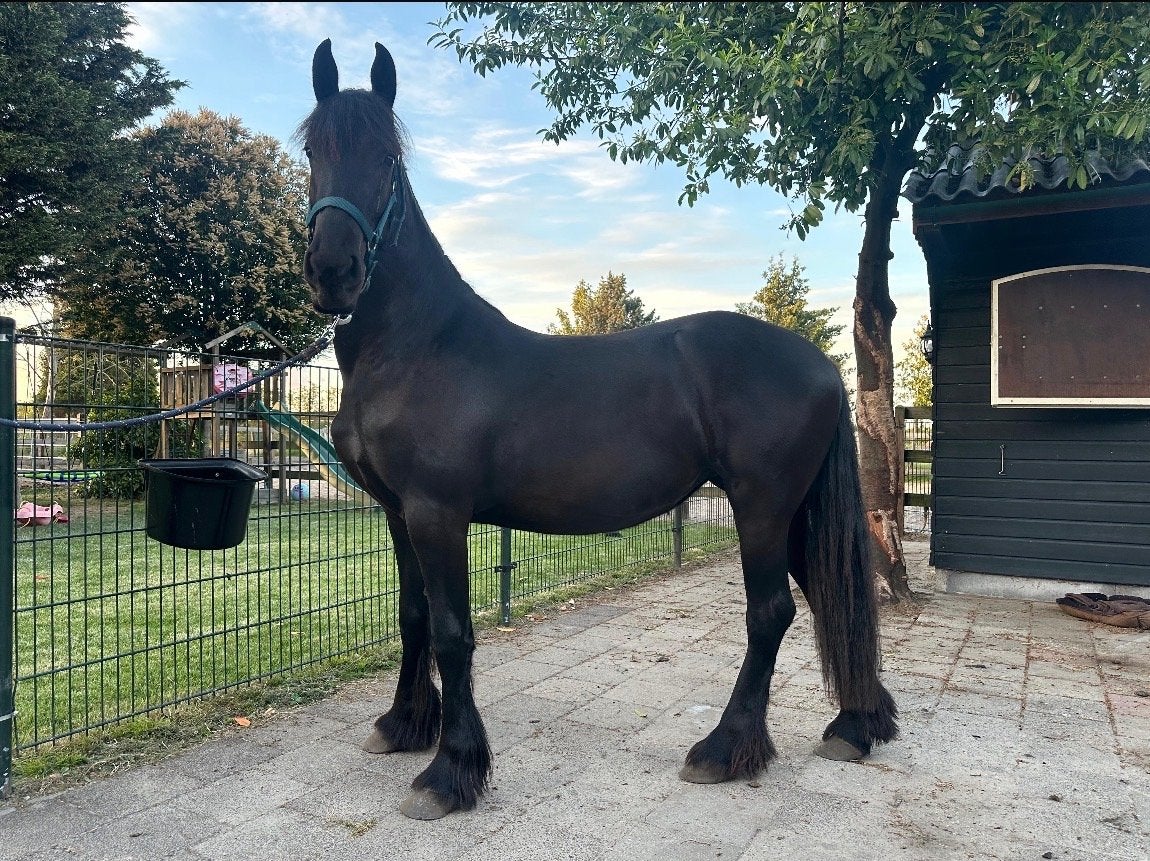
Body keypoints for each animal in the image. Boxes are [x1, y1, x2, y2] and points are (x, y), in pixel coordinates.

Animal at [298, 39, 898, 820]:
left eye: (388, 159)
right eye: (313, 149)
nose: (334, 270)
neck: (417, 344)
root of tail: (823, 364)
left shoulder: (437, 513)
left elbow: (454, 633)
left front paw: (450, 770)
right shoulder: (398, 513)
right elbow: (413, 616)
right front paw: (402, 725)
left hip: (763, 507)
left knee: (770, 612)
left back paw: (723, 749)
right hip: (795, 513)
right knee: (833, 596)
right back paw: (855, 726)